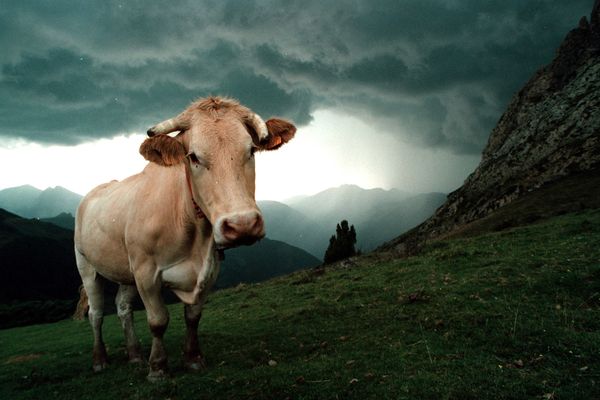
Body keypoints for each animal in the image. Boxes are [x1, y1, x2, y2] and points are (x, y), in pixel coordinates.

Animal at [74, 96, 296, 378]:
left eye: (252, 151)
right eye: (193, 157)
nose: (243, 224)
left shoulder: (209, 270)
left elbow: (193, 316)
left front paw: (192, 358)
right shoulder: (146, 273)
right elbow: (158, 321)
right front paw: (158, 367)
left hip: (125, 269)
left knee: (123, 307)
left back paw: (134, 355)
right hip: (86, 265)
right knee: (96, 313)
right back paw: (99, 359)